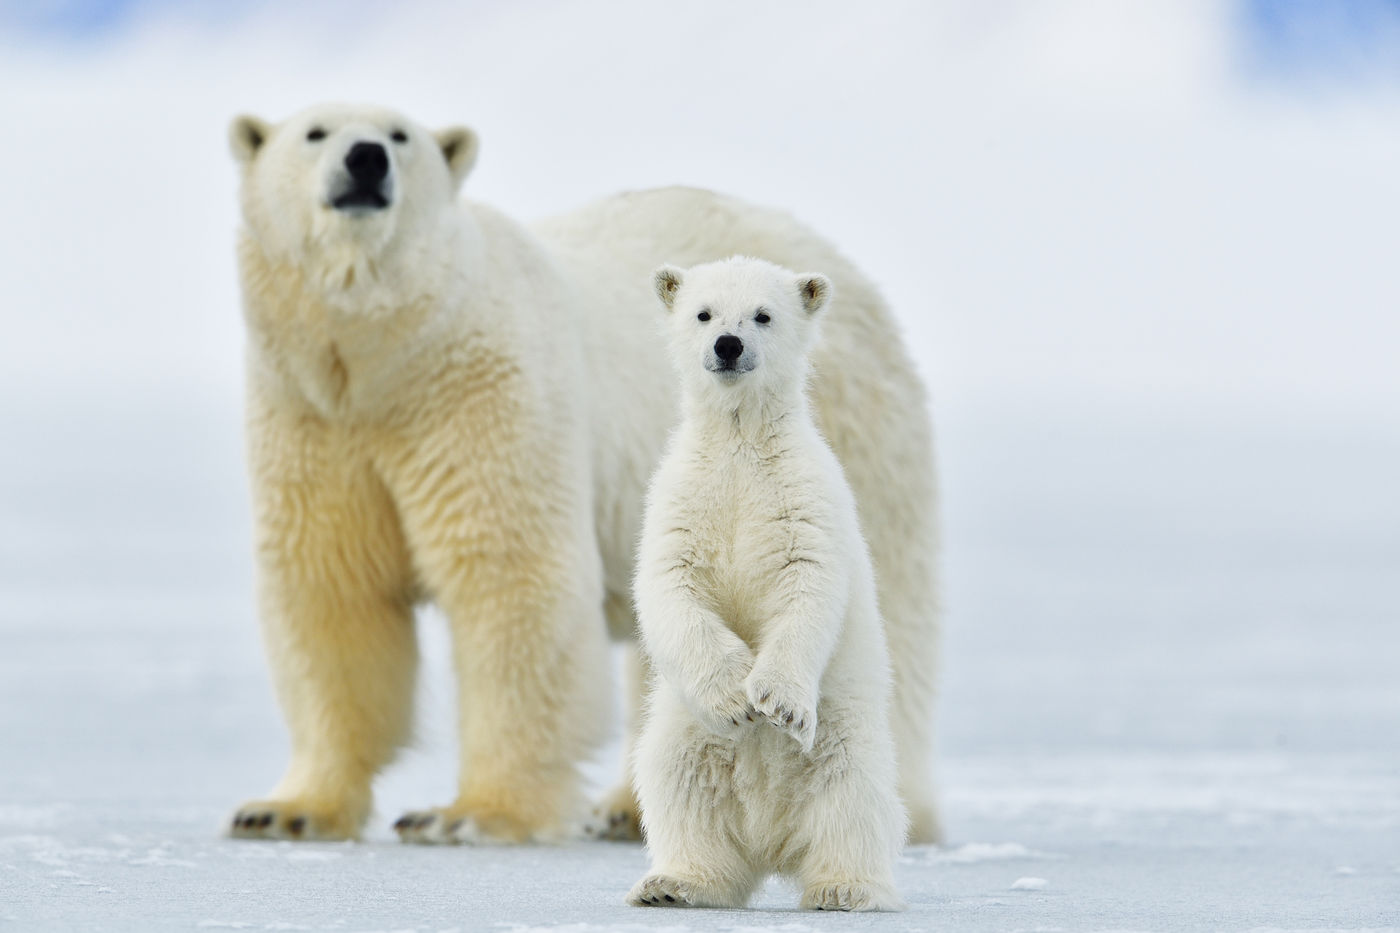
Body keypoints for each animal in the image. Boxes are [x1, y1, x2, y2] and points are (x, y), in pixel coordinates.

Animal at [226, 101, 940, 840]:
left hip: (854, 434)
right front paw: (284, 809)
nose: (366, 159)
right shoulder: (313, 418)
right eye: (314, 133)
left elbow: (511, 581)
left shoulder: (483, 395)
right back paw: (629, 807)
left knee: (889, 608)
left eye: (401, 136)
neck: (389, 365)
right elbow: (332, 594)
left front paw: (468, 815)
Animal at [627, 257, 907, 913]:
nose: (727, 345)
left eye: (763, 315)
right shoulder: (680, 499)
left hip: (847, 736)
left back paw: (844, 888)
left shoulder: (805, 498)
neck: (740, 443)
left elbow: (809, 589)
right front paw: (735, 698)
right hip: (685, 734)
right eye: (703, 313)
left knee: (853, 803)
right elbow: (670, 588)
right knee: (678, 787)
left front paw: (776, 703)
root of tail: (772, 842)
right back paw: (675, 883)